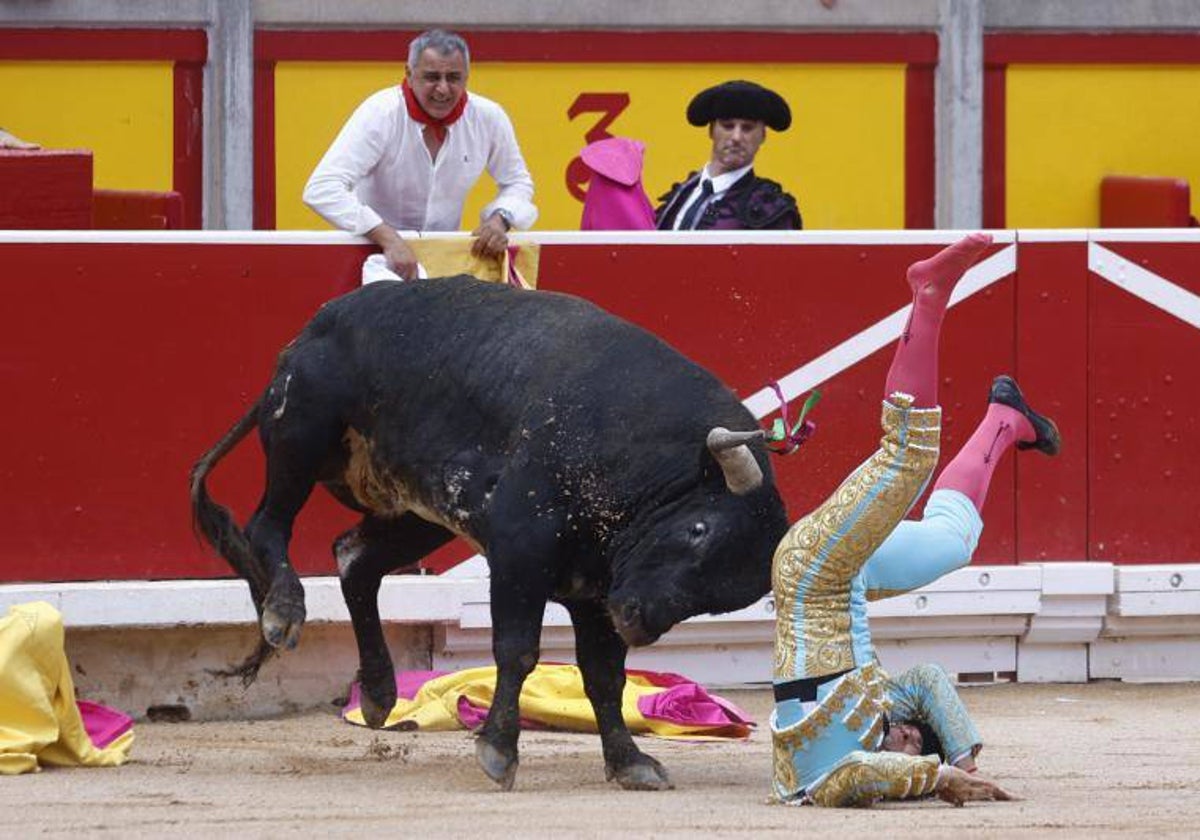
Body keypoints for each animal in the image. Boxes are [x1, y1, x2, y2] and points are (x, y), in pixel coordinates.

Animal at [192, 276, 792, 787]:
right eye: (698, 529)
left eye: (718, 600)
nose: (638, 621)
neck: (641, 454)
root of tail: (313, 328)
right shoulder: (518, 552)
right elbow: (518, 650)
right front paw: (499, 750)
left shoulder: (596, 591)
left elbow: (604, 677)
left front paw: (629, 762)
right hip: (302, 433)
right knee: (268, 526)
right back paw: (283, 611)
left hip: (419, 514)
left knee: (354, 560)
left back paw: (380, 693)